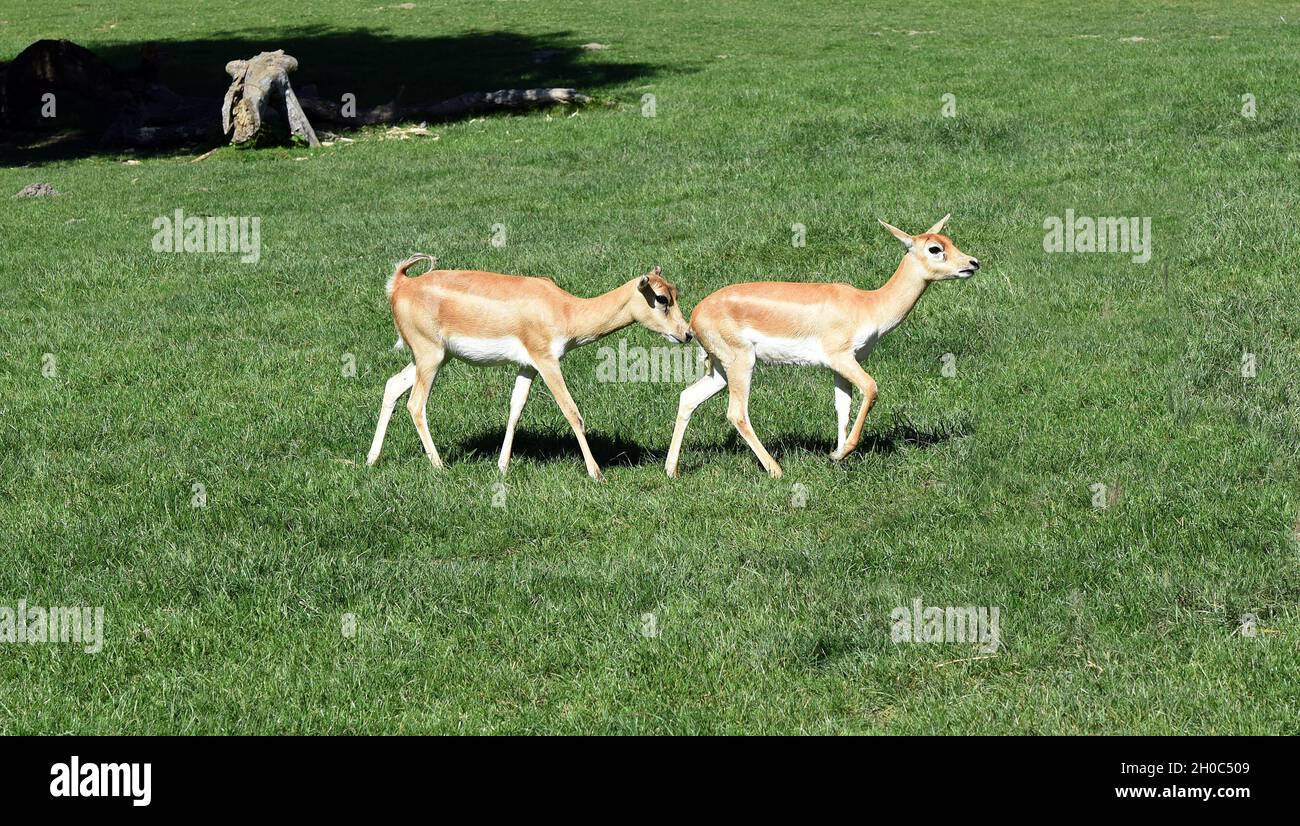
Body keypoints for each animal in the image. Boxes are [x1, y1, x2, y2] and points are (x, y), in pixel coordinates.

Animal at [366, 254, 691, 481]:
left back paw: (372, 459)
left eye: (675, 293)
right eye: (661, 298)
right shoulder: (547, 361)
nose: (687, 333)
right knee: (415, 404)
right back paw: (439, 465)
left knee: (392, 386)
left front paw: (502, 466)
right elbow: (572, 412)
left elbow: (516, 409)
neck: (565, 309)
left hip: (432, 358)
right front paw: (596, 473)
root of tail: (400, 285)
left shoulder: (528, 366)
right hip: (430, 357)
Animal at [665, 215, 977, 481]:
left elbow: (843, 406)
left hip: (720, 369)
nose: (973, 262)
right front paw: (841, 453)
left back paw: (672, 470)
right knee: (736, 412)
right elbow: (871, 388)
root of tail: (695, 316)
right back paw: (776, 470)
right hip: (742, 362)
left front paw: (837, 454)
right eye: (935, 248)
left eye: (950, 240)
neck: (869, 304)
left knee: (688, 397)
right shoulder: (842, 358)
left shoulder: (840, 367)